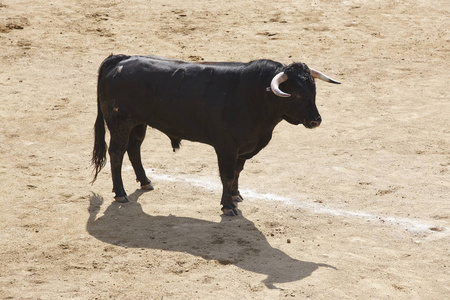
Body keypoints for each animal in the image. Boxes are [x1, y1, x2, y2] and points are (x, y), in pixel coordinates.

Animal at [90, 54, 338, 216]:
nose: (316, 120)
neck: (254, 95)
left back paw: (145, 182)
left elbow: (237, 173)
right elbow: (226, 175)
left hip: (139, 122)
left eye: (313, 90)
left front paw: (236, 196)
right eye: (295, 94)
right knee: (117, 153)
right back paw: (121, 193)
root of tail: (119, 60)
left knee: (134, 148)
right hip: (120, 122)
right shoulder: (226, 148)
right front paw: (228, 207)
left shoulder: (243, 148)